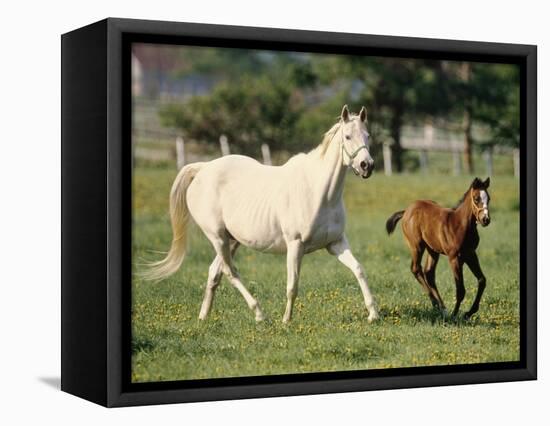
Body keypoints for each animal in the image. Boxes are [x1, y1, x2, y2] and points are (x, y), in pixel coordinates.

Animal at [144, 105, 382, 322]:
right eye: (347, 136)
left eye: (368, 136)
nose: (366, 165)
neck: (318, 191)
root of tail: (203, 168)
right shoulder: (295, 245)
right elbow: (292, 285)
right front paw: (286, 321)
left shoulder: (336, 243)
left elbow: (359, 270)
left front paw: (373, 314)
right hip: (217, 237)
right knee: (230, 272)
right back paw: (259, 314)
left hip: (232, 240)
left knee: (215, 272)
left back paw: (203, 317)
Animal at [388, 177, 492, 320]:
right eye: (476, 199)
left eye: (489, 198)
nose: (485, 219)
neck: (460, 225)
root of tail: (406, 211)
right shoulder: (454, 258)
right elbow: (460, 290)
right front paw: (454, 316)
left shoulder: (470, 254)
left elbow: (482, 280)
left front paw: (468, 313)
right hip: (417, 246)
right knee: (416, 269)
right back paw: (436, 304)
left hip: (432, 250)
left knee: (429, 273)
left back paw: (441, 307)